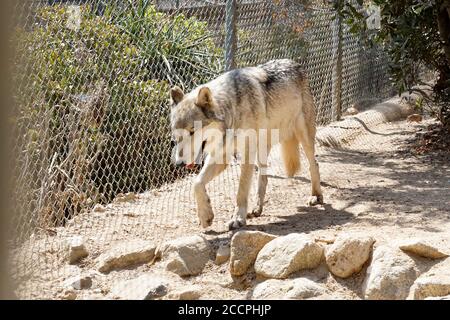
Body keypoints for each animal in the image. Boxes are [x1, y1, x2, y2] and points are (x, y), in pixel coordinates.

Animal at [170, 58, 324, 230]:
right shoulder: (222, 156)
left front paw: (238, 218)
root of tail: (293, 62)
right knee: (264, 177)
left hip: (304, 137)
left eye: (192, 131)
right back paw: (257, 208)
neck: (231, 108)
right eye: (176, 135)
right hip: (262, 149)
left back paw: (316, 196)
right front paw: (205, 216)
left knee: (314, 164)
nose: (178, 163)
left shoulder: (246, 153)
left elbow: (242, 189)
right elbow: (196, 183)